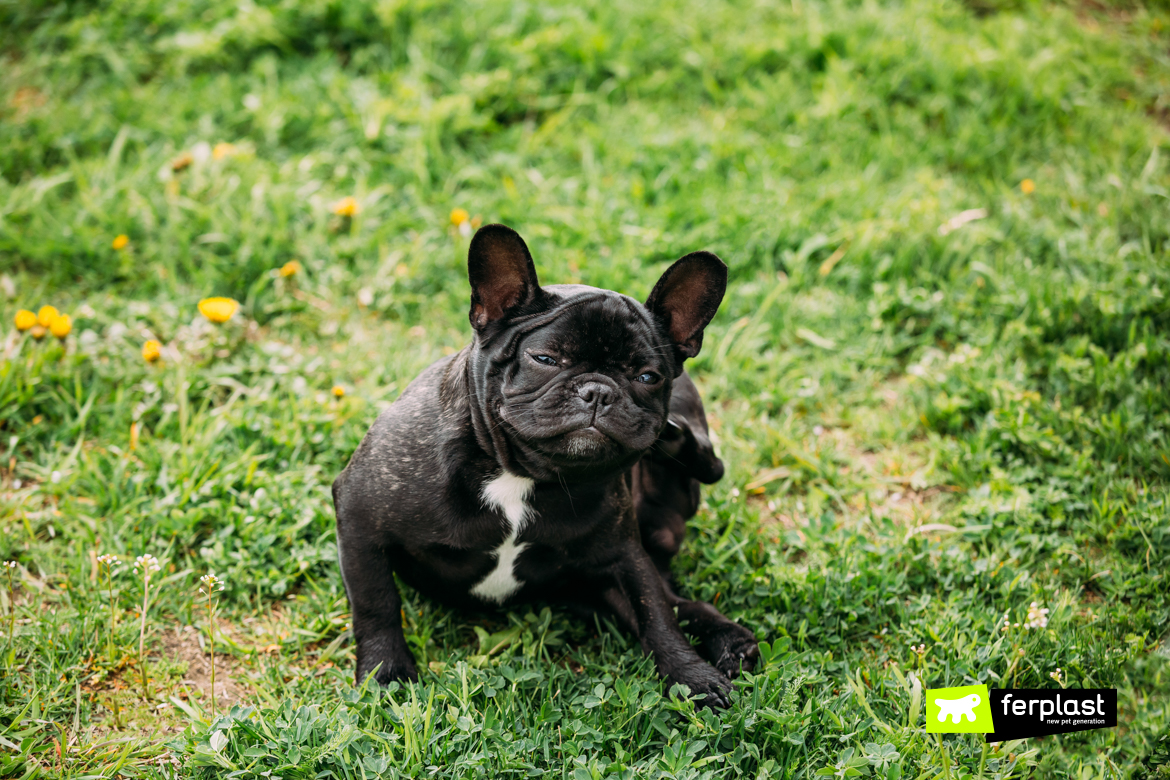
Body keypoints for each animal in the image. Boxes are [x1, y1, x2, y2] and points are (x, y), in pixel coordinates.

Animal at [334, 224, 762, 706]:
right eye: (545, 359)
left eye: (648, 377)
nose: (598, 391)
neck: (522, 473)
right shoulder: (360, 519)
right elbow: (376, 603)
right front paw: (385, 673)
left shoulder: (623, 554)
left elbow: (656, 614)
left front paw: (691, 677)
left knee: (704, 493)